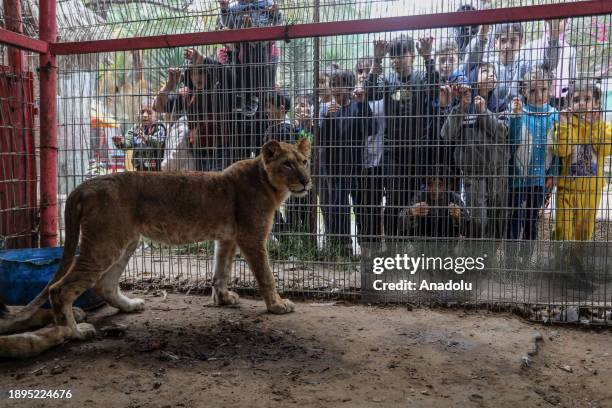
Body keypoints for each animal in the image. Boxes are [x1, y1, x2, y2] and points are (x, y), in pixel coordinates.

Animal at [0, 139, 310, 356]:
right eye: (288, 164)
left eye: (305, 161)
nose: (307, 181)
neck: (269, 183)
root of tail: (86, 185)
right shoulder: (252, 237)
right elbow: (265, 275)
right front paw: (278, 305)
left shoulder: (227, 238)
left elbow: (220, 270)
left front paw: (223, 299)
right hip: (105, 243)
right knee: (60, 289)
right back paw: (75, 332)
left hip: (125, 240)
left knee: (104, 285)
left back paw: (130, 305)